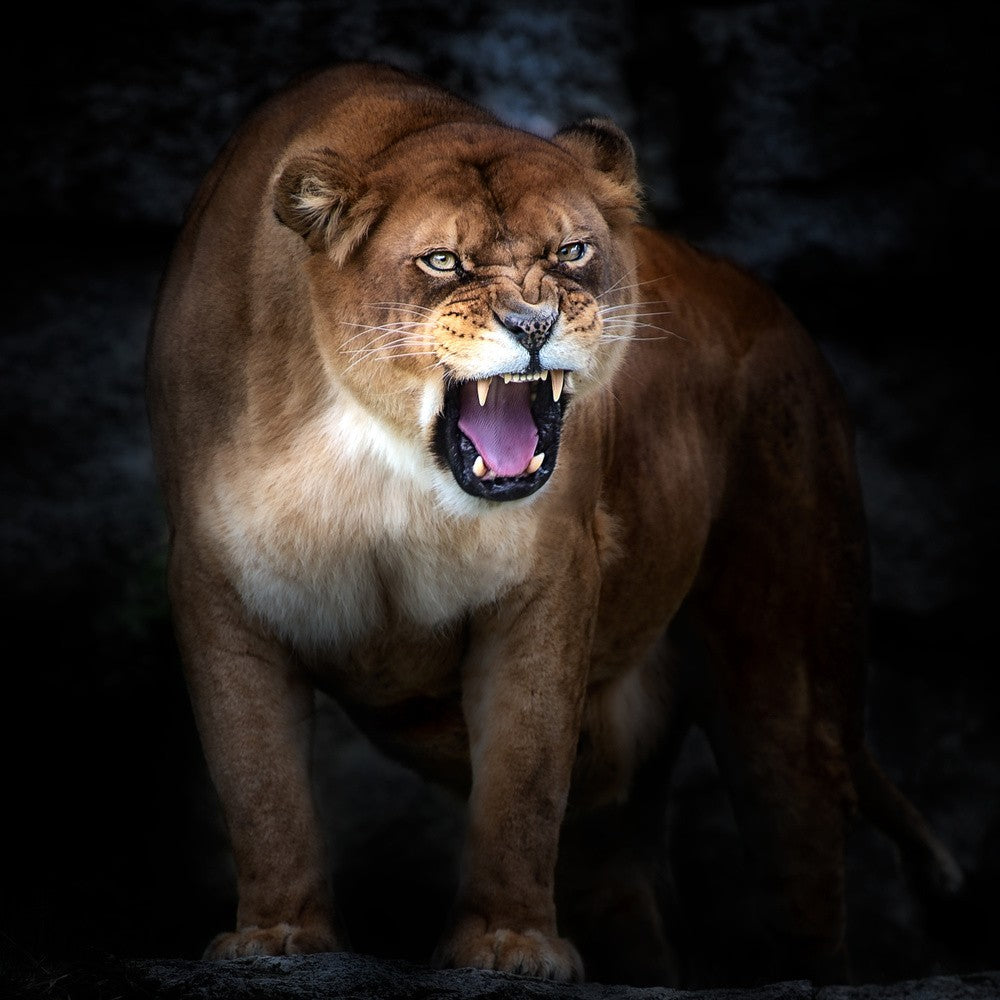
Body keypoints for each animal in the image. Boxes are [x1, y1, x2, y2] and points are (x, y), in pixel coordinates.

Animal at [146, 61, 962, 986]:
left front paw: (508, 943)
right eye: (443, 261)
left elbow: (522, 779)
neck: (379, 459)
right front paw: (279, 934)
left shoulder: (547, 583)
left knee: (805, 866)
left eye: (570, 252)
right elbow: (259, 781)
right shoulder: (216, 583)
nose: (533, 325)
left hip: (789, 689)